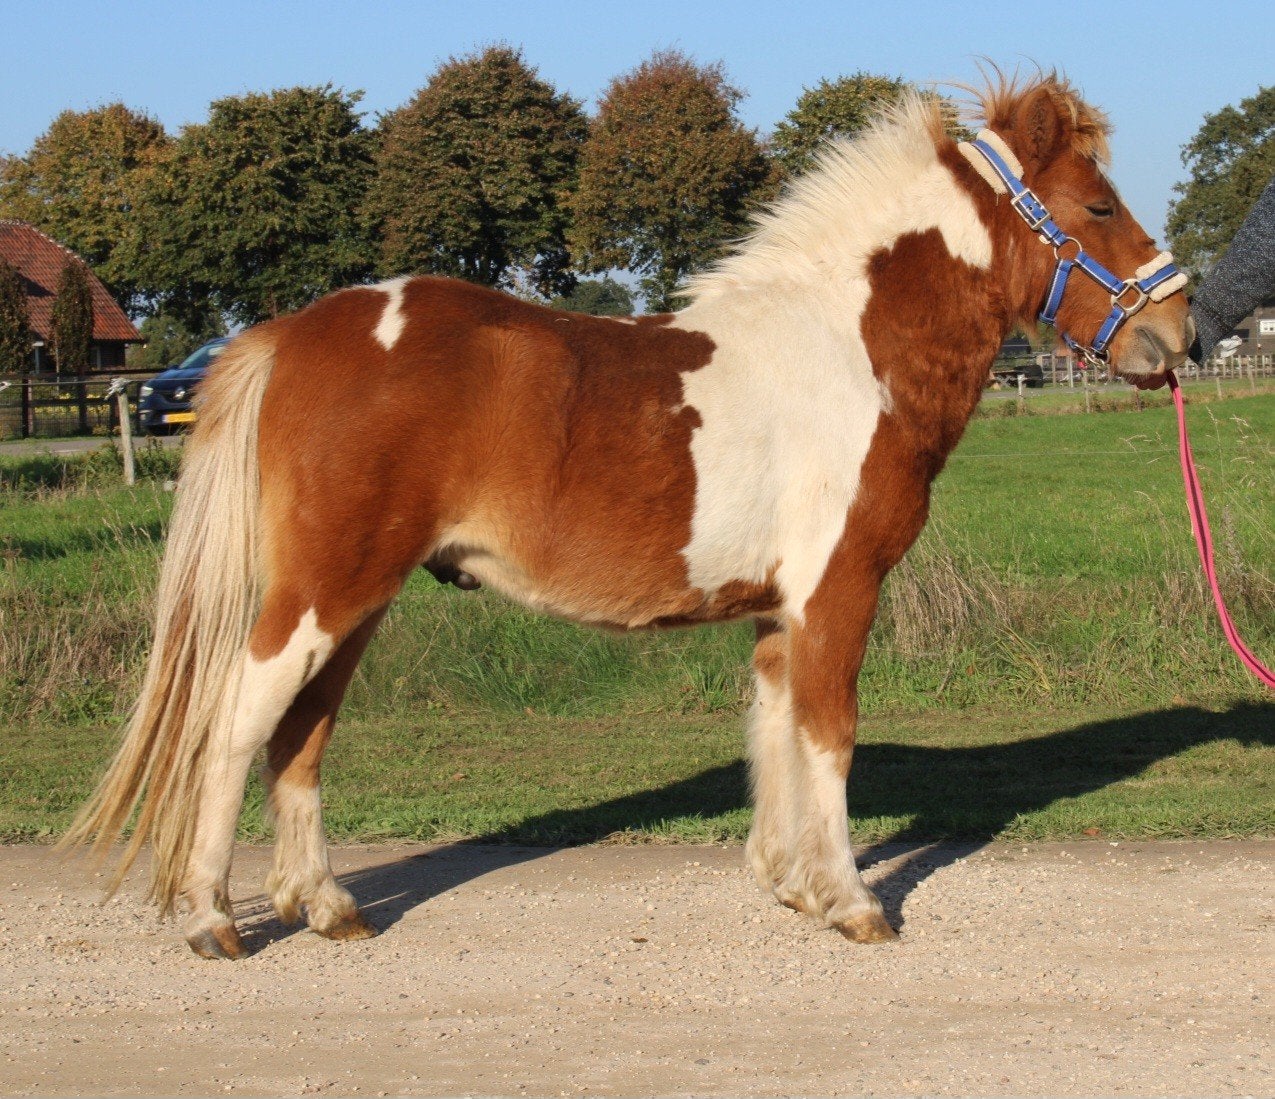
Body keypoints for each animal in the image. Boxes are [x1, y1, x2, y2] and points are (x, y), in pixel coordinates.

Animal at [62, 74, 1193, 959]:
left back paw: (328, 905)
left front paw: (792, 884)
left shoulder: (778, 609)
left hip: (356, 602)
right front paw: (854, 902)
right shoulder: (838, 590)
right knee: (234, 723)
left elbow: (773, 735)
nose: (1179, 328)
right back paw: (212, 916)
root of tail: (290, 333)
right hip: (320, 596)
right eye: (1098, 205)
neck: (850, 345)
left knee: (302, 733)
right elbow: (829, 739)